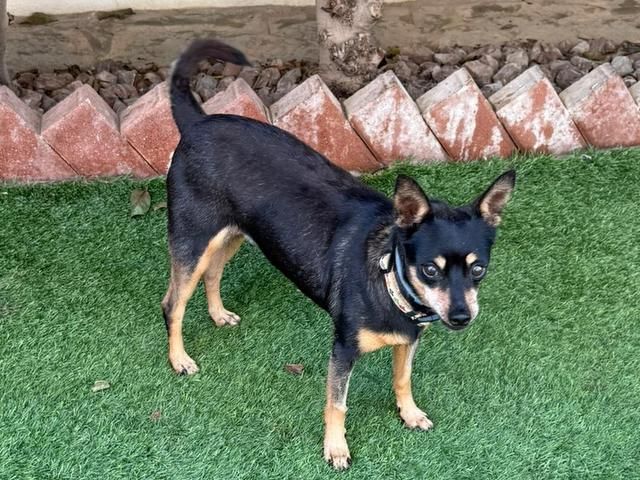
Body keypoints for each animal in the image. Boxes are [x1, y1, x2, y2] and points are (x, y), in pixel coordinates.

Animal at [162, 39, 516, 470]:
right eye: (430, 270)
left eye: (478, 269)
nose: (462, 317)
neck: (389, 279)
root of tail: (197, 123)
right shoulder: (343, 349)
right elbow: (337, 404)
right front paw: (335, 448)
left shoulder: (410, 340)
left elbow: (402, 378)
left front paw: (409, 413)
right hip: (192, 238)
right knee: (173, 303)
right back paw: (179, 359)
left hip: (231, 233)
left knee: (212, 273)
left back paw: (217, 314)